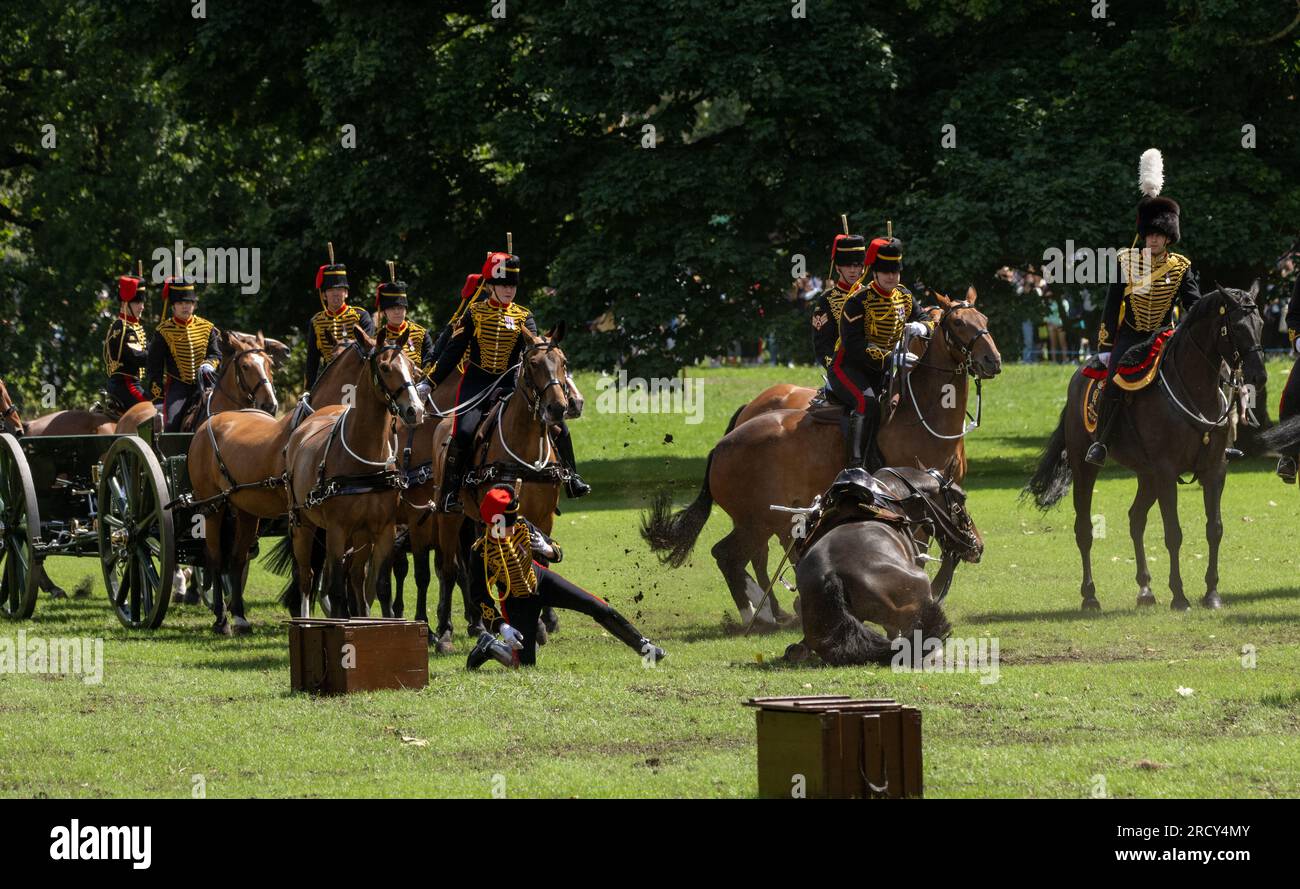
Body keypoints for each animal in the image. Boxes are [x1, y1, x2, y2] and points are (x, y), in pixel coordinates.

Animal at [286, 324, 423, 618]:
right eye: (384, 367)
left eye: (412, 367)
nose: (415, 410)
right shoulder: (337, 531)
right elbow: (337, 589)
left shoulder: (383, 531)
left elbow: (381, 587)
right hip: (302, 525)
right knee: (307, 577)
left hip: (359, 536)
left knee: (357, 577)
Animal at [642, 291, 1003, 623]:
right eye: (959, 323)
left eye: (984, 319)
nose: (993, 361)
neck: (922, 415)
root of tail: (721, 445)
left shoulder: (943, 494)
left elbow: (949, 545)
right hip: (756, 519)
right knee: (737, 554)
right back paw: (762, 612)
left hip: (766, 516)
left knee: (754, 553)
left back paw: (773, 608)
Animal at [1019, 284, 1263, 610]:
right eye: (1236, 327)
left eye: (1260, 324)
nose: (1259, 376)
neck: (1194, 390)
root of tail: (1078, 375)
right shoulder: (1166, 471)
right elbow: (1173, 533)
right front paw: (1179, 596)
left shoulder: (1214, 470)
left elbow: (1215, 529)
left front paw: (1211, 594)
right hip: (1086, 467)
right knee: (1084, 529)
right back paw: (1090, 596)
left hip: (1147, 475)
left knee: (1136, 519)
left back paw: (1145, 590)